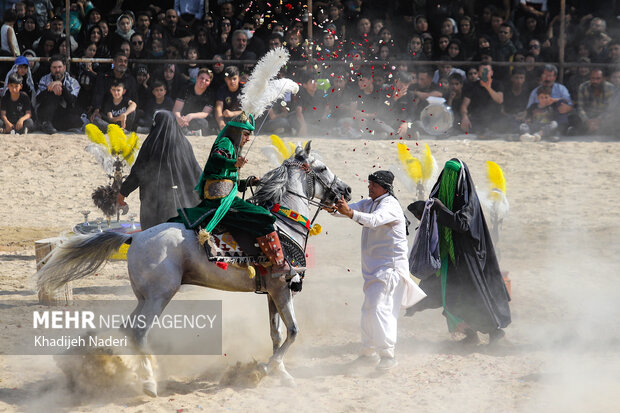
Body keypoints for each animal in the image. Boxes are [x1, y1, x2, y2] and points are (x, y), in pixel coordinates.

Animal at [35, 141, 354, 396]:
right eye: (322, 167)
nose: (347, 190)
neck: (284, 222)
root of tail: (135, 236)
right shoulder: (283, 289)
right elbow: (294, 331)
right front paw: (265, 369)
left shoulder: (272, 293)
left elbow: (277, 335)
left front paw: (282, 374)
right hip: (160, 296)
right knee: (138, 332)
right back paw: (149, 383)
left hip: (145, 297)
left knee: (128, 329)